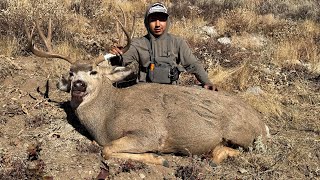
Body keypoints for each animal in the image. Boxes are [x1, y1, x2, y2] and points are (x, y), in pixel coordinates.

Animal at [25, 17, 270, 165]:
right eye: (71, 73)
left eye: (93, 72)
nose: (78, 85)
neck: (107, 116)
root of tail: (262, 124)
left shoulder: (148, 132)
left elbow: (107, 150)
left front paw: (159, 158)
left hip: (240, 133)